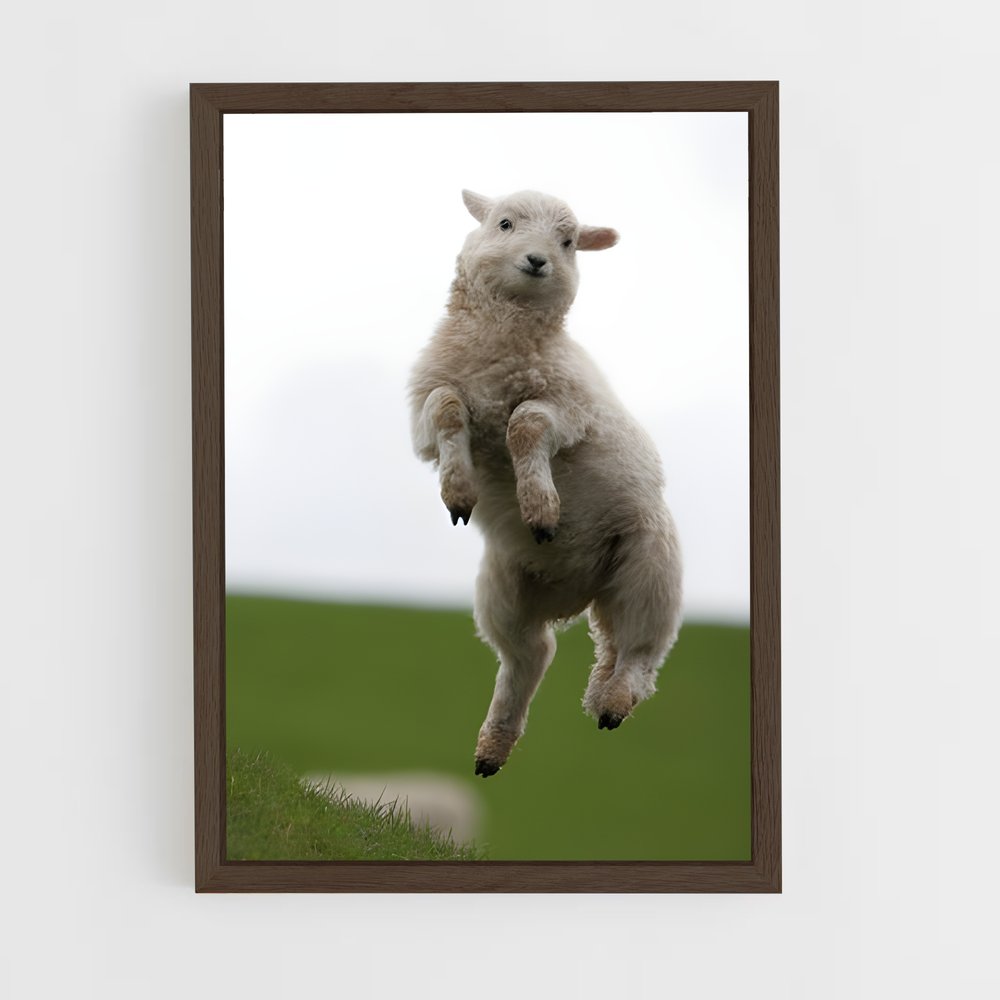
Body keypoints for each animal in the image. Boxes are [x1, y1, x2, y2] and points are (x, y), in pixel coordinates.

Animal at [408, 189, 682, 777]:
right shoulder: (425, 415)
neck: (499, 346)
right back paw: (494, 747)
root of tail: (576, 592)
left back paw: (613, 701)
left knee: (641, 650)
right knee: (529, 656)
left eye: (569, 241)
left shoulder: (572, 412)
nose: (538, 261)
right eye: (504, 224)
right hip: (504, 591)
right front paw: (459, 492)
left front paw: (540, 505)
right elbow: (446, 409)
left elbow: (526, 423)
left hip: (649, 567)